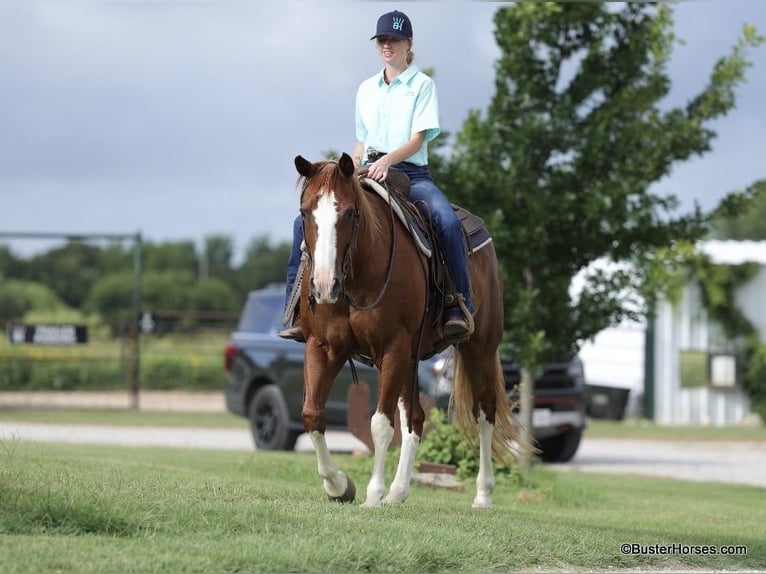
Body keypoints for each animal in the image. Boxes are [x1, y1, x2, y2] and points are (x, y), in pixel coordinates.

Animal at [294, 152, 522, 508]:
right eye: (305, 212)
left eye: (349, 212)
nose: (324, 285)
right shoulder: (322, 347)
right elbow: (312, 415)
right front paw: (339, 486)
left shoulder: (393, 349)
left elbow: (380, 425)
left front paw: (373, 494)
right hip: (413, 360)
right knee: (415, 416)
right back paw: (398, 492)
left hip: (480, 348)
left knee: (485, 413)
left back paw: (483, 494)